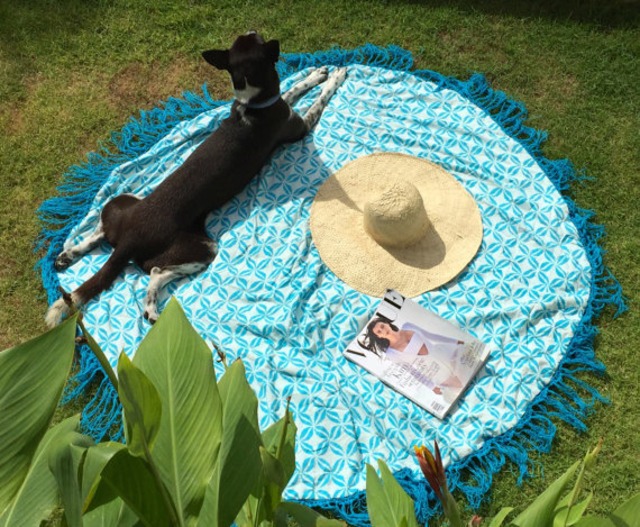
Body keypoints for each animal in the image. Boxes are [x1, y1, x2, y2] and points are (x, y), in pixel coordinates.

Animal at [46, 33, 344, 326]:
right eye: (258, 37)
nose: (254, 29)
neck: (252, 104)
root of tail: (129, 239)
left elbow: (293, 89)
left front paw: (316, 74)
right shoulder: (298, 126)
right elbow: (316, 101)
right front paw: (334, 77)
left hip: (124, 198)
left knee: (100, 230)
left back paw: (69, 254)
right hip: (201, 249)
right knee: (156, 271)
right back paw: (151, 307)